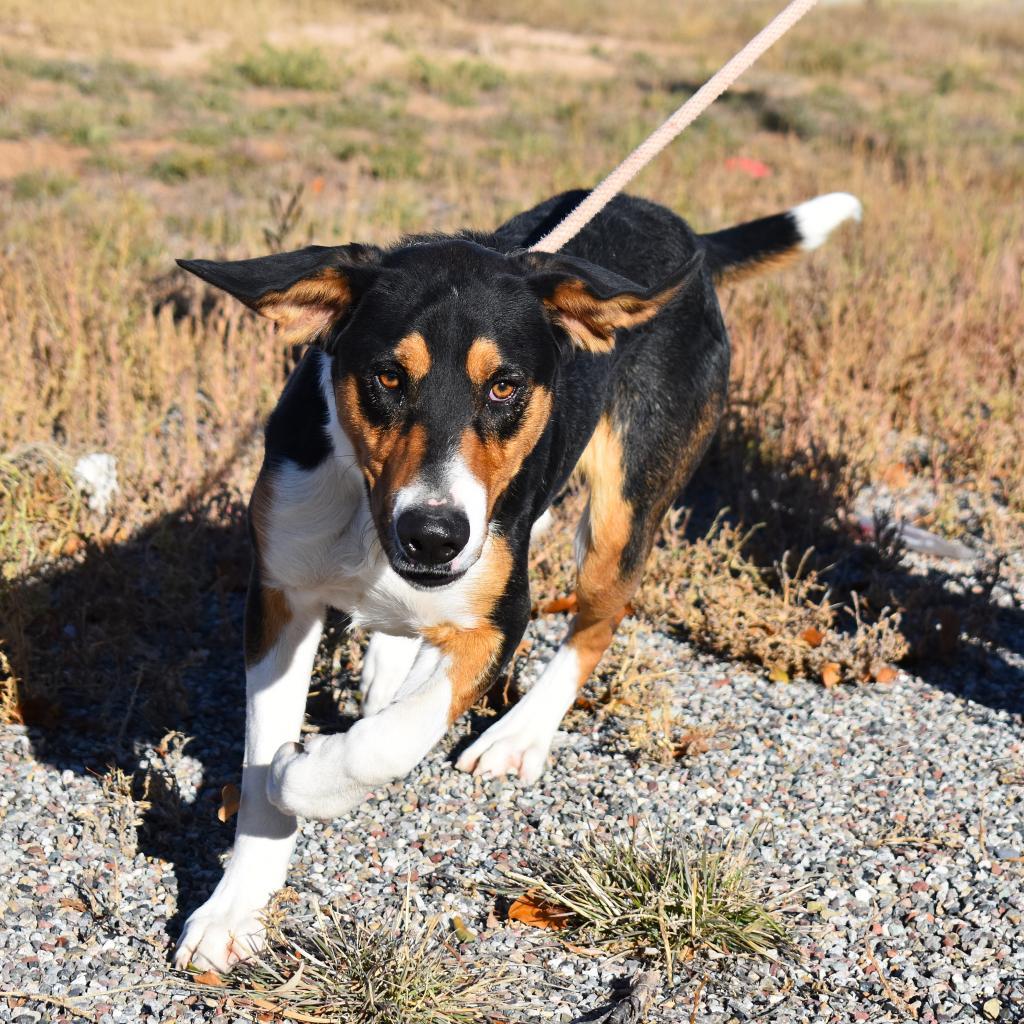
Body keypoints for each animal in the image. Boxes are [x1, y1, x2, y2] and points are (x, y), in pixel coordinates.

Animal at [174, 190, 856, 966]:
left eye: (504, 386)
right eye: (387, 377)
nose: (434, 535)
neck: (367, 517)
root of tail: (687, 234)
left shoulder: (504, 611)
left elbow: (382, 742)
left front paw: (308, 775)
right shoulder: (281, 594)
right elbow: (265, 753)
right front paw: (235, 908)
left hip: (624, 508)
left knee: (595, 623)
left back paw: (519, 733)